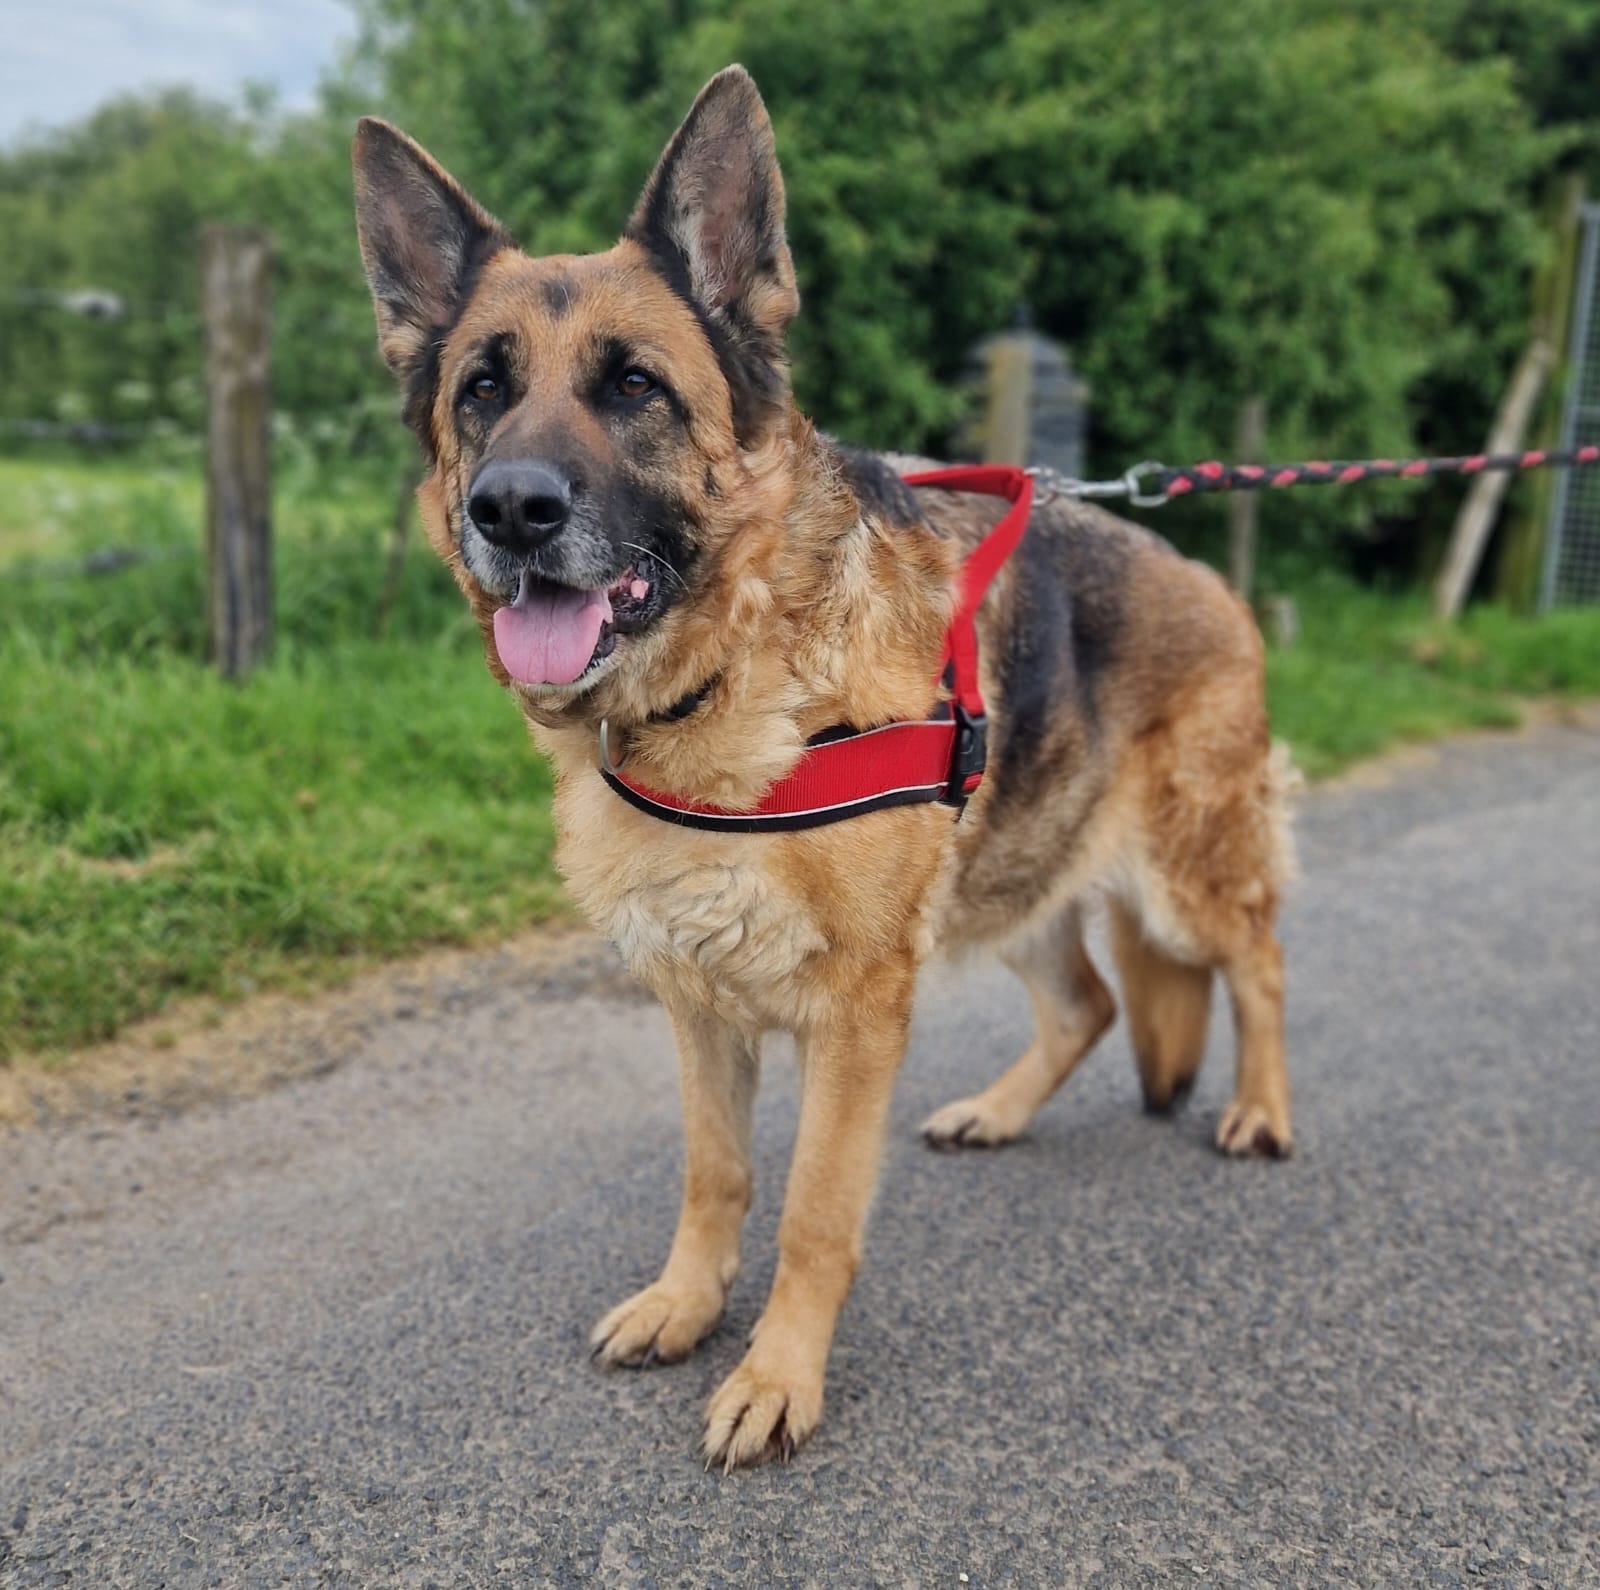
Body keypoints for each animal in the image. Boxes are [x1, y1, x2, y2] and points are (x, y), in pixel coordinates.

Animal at [353, 65, 1296, 1470]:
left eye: (635, 388)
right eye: (481, 390)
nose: (510, 511)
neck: (731, 684)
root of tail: (1211, 581)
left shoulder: (855, 1012)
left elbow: (810, 1207)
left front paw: (775, 1375)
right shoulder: (698, 997)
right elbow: (717, 1174)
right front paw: (686, 1306)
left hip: (1181, 870)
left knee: (1258, 964)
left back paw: (1263, 1111)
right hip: (1011, 875)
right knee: (1088, 1005)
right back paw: (998, 1111)